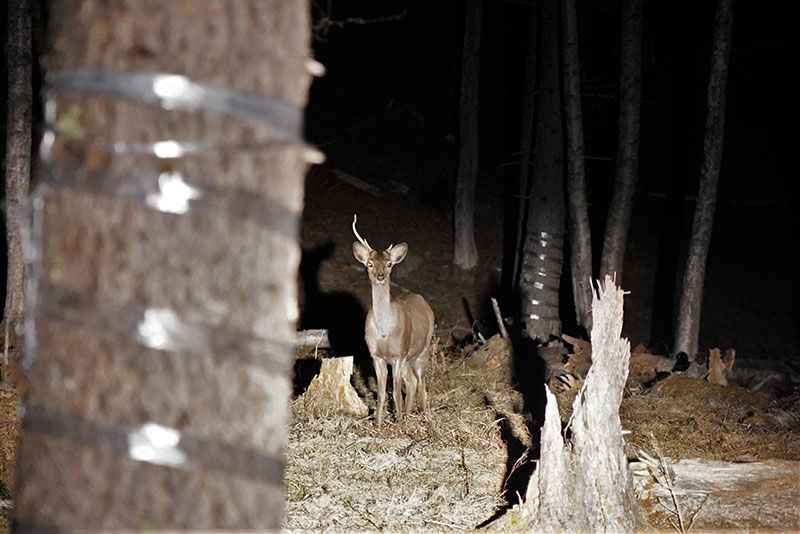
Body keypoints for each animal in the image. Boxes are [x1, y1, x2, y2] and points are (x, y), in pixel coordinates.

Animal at [352, 216, 434, 430]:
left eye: (389, 264)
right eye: (369, 264)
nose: (380, 276)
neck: (384, 332)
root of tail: (423, 301)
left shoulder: (398, 354)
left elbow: (395, 391)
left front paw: (397, 424)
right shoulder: (376, 355)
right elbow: (382, 393)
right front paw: (379, 424)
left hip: (422, 351)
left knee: (421, 383)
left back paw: (425, 417)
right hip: (408, 359)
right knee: (412, 382)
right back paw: (406, 414)